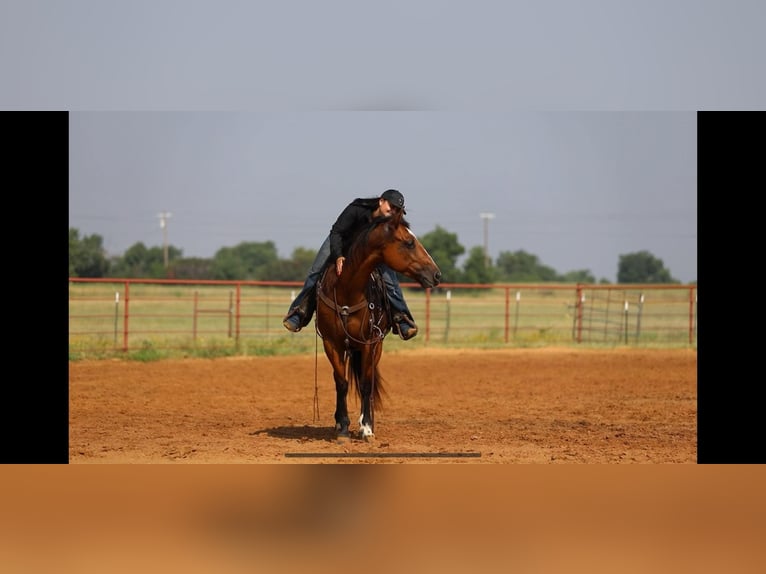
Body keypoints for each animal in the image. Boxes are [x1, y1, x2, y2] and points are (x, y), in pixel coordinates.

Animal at [314, 209, 444, 444]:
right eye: (409, 242)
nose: (436, 274)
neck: (347, 290)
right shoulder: (332, 343)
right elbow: (341, 383)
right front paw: (343, 428)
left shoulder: (369, 343)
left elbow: (366, 384)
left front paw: (366, 428)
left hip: (376, 347)